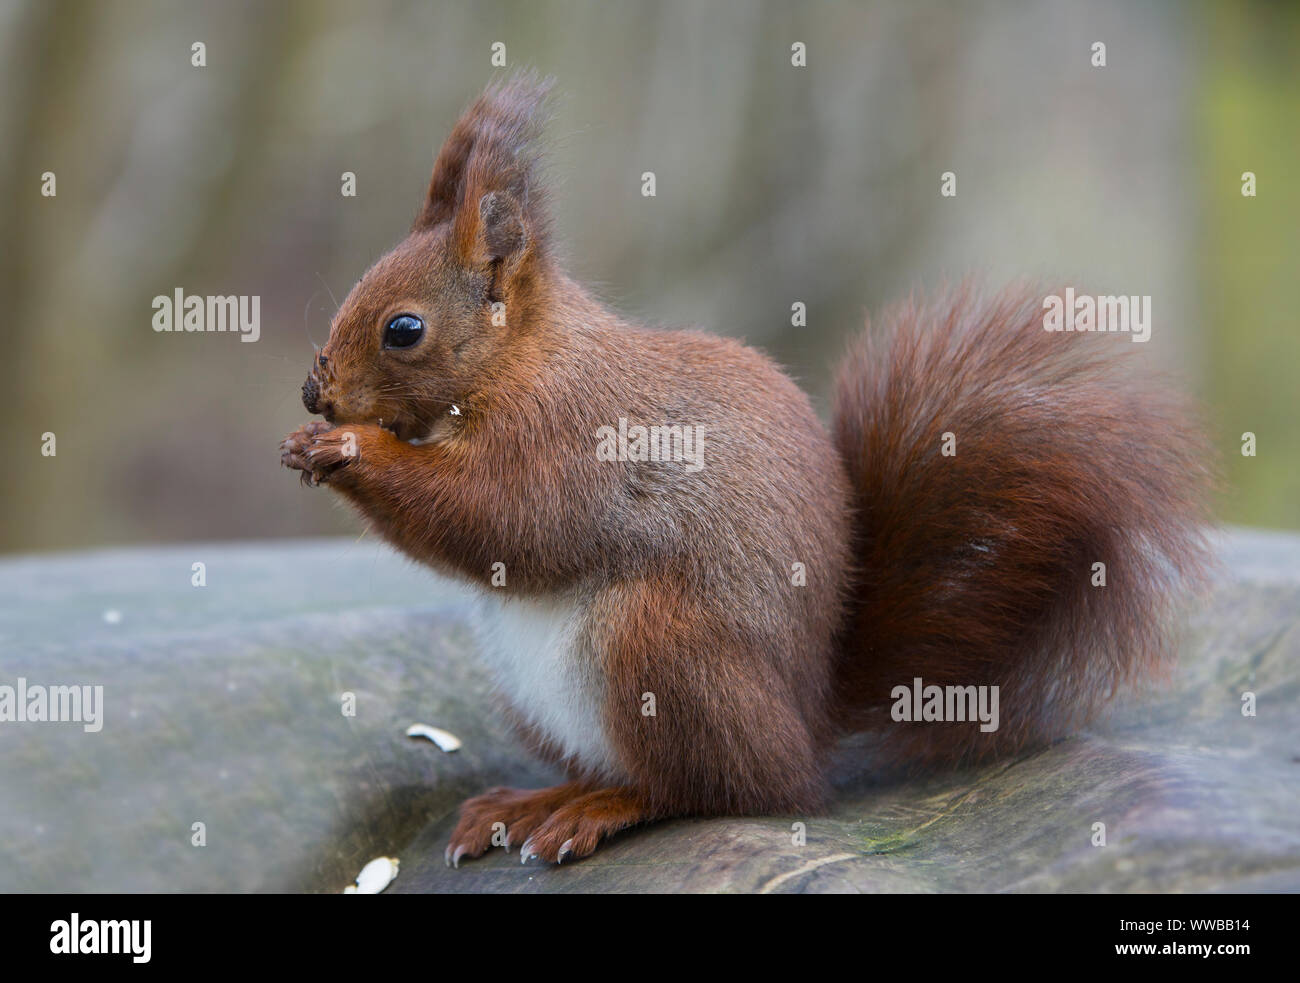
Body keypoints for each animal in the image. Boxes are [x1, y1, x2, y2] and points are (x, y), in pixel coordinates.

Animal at [280, 75, 1214, 866]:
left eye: (404, 329)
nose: (315, 392)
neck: (523, 363)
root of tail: (806, 722)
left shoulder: (570, 439)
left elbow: (502, 517)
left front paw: (348, 449)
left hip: (660, 647)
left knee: (716, 787)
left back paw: (599, 809)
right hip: (539, 689)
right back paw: (535, 799)